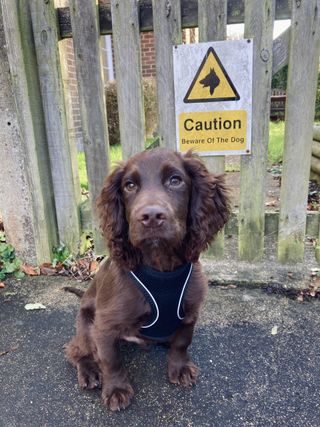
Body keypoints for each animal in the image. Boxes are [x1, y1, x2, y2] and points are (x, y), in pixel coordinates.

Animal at [65, 147, 230, 412]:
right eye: (129, 185)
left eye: (176, 180)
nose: (151, 216)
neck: (160, 266)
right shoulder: (104, 326)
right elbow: (110, 360)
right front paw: (116, 389)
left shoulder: (190, 313)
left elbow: (182, 342)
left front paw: (180, 368)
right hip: (85, 325)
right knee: (75, 351)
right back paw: (89, 370)